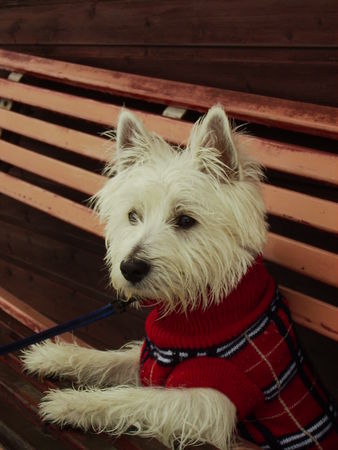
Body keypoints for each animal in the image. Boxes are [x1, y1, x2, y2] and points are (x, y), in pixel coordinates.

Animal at [21, 108, 336, 450]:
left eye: (186, 220)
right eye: (133, 216)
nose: (130, 268)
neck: (198, 311)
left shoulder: (208, 403)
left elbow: (133, 399)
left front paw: (72, 403)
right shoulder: (151, 360)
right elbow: (105, 361)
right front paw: (53, 356)